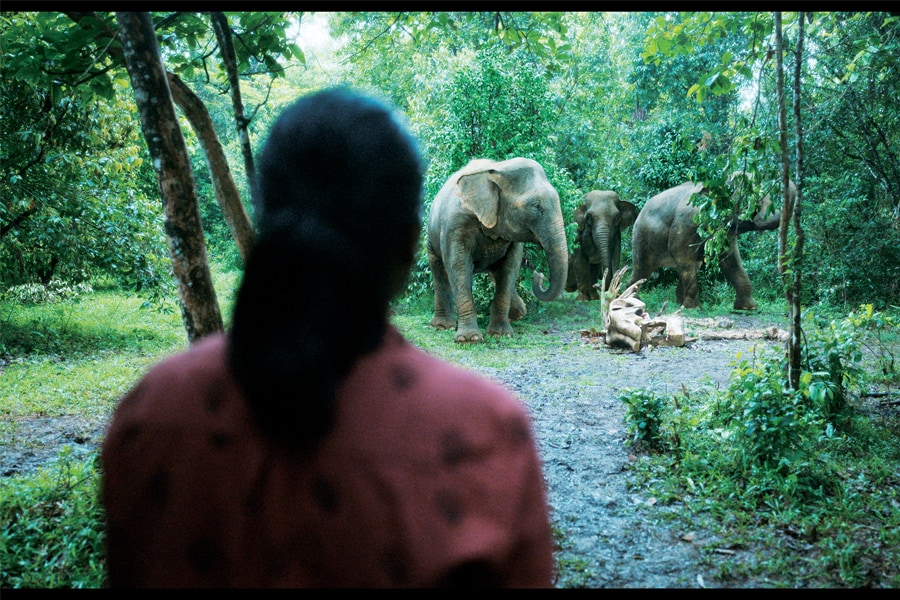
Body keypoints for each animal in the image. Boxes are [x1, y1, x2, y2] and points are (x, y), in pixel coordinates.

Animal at [426, 157, 568, 344]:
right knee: (439, 271)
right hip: (431, 236)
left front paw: (500, 334)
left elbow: (509, 268)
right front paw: (469, 339)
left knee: (497, 273)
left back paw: (518, 313)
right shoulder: (454, 225)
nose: (539, 274)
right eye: (536, 206)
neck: (498, 169)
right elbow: (459, 267)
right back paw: (442, 326)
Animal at [624, 177, 796, 310]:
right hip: (642, 237)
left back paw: (678, 303)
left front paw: (748, 308)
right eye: (752, 201)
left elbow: (730, 260)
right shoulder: (688, 221)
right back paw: (633, 300)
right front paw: (694, 309)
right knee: (643, 270)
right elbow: (680, 252)